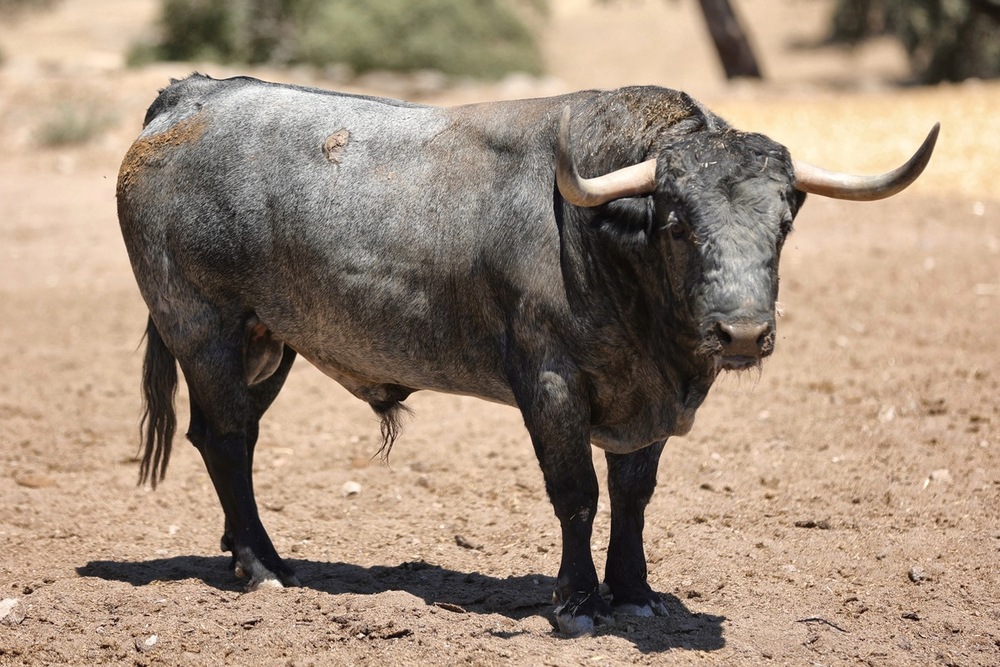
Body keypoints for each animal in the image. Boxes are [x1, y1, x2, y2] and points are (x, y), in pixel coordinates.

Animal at [117, 74, 936, 636]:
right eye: (676, 221)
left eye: (785, 217)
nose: (739, 333)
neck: (603, 243)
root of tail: (189, 97)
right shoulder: (550, 384)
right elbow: (577, 494)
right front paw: (576, 601)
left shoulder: (645, 407)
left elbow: (633, 497)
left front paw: (634, 594)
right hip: (205, 328)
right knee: (227, 438)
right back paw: (262, 567)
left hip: (267, 343)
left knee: (229, 438)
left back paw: (244, 550)